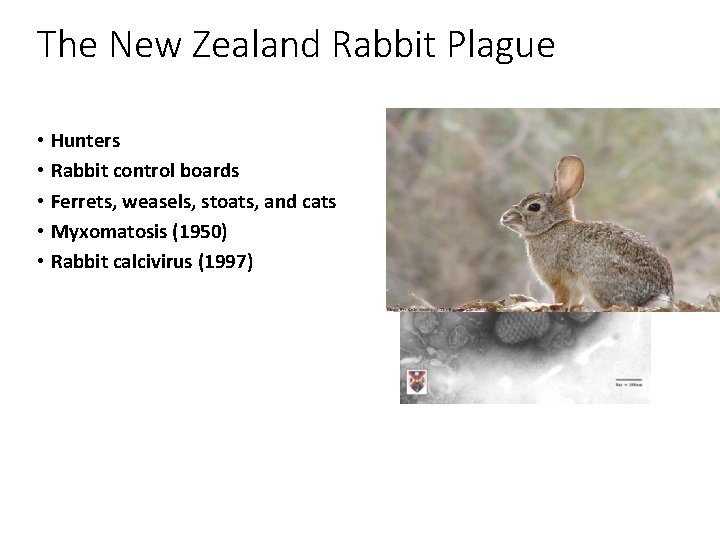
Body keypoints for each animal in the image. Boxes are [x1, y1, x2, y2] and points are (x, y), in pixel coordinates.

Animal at [500, 155, 673, 309]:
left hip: (600, 282)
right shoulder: (575, 288)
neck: (551, 227)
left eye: (534, 206)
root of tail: (655, 295)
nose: (504, 217)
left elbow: (562, 300)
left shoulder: (559, 281)